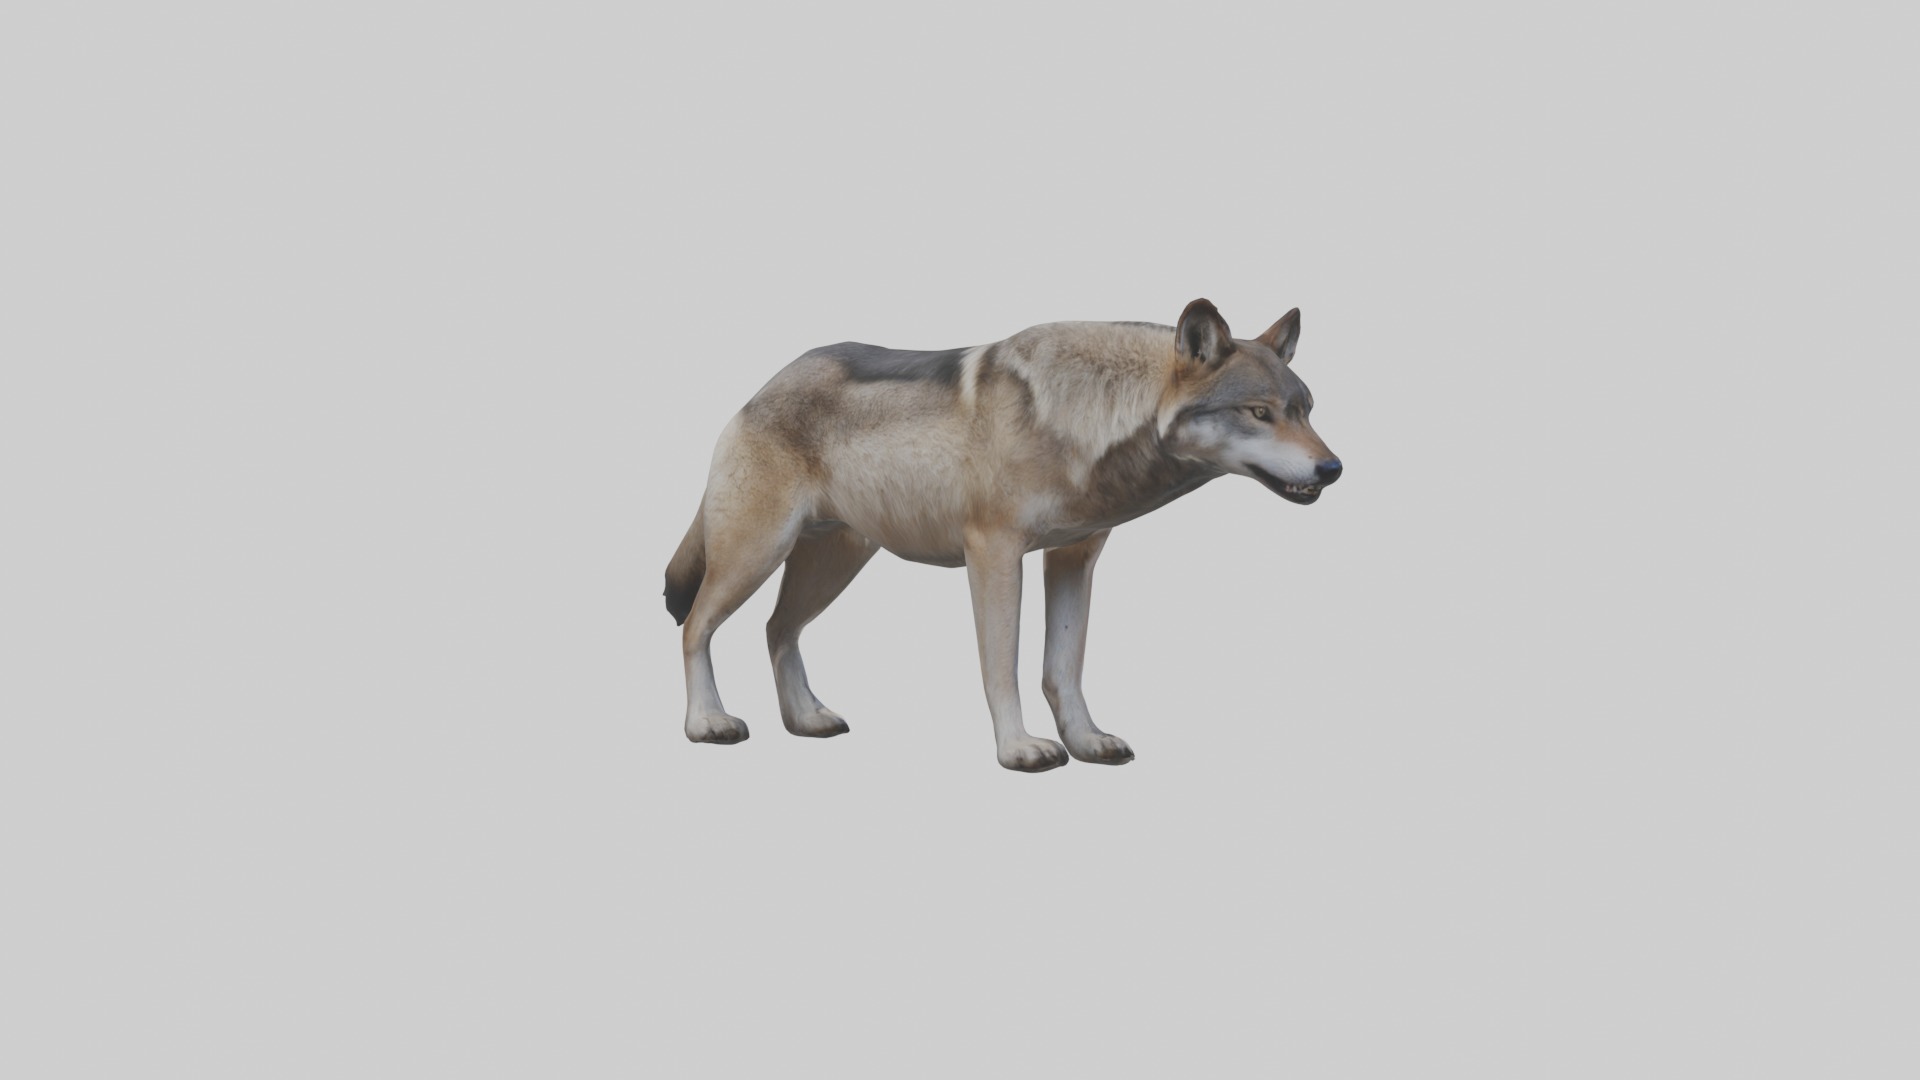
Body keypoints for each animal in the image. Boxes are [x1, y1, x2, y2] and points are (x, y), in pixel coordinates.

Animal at [664, 298, 1342, 772]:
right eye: (1260, 413)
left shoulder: (1074, 557)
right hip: (758, 554)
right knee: (695, 625)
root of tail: (760, 391)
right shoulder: (994, 554)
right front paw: (1018, 750)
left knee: (777, 629)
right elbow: (1003, 667)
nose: (1333, 469)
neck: (1083, 417)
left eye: (1306, 410)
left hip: (834, 563)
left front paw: (1087, 742)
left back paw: (806, 720)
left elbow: (1062, 669)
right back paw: (707, 724)